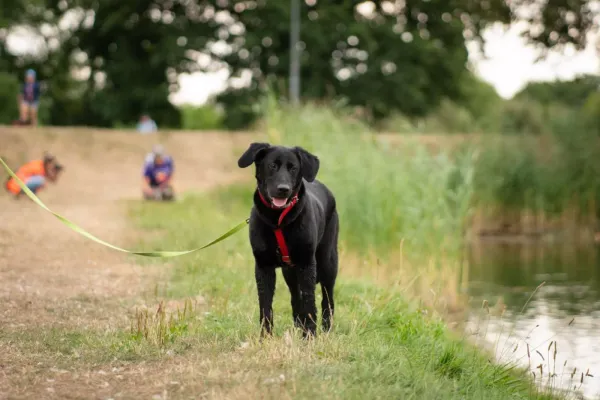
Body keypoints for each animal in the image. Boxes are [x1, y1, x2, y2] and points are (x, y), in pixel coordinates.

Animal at [239, 143, 342, 338]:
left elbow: (309, 303)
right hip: (290, 273)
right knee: (295, 298)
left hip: (328, 263)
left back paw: (326, 329)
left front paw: (310, 336)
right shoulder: (263, 267)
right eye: (272, 165)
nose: (283, 189)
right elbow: (265, 306)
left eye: (293, 168)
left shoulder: (307, 264)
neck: (278, 220)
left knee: (327, 299)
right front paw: (265, 337)